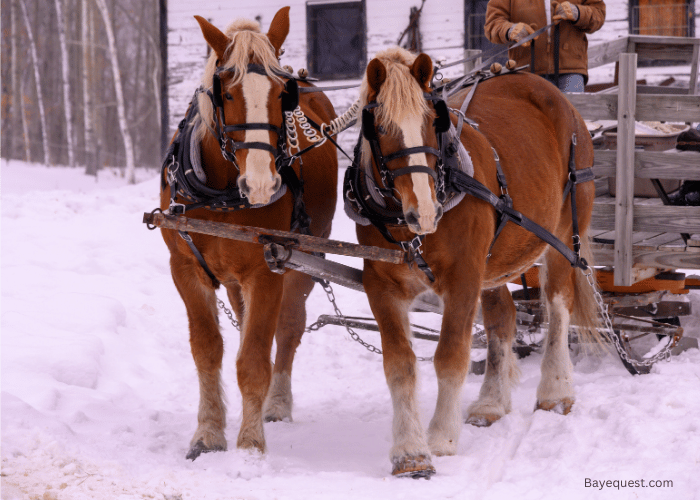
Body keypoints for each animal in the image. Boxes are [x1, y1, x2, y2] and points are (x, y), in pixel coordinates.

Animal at [162, 7, 342, 460]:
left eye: (282, 95)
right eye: (226, 94)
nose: (260, 184)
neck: (224, 196)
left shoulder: (267, 270)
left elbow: (256, 358)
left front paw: (249, 444)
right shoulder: (185, 268)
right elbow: (208, 350)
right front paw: (208, 434)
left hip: (303, 261)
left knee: (289, 327)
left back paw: (275, 405)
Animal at [350, 48, 600, 478]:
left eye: (432, 122)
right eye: (379, 126)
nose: (425, 211)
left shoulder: (463, 278)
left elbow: (450, 357)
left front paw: (441, 439)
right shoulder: (380, 286)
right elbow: (400, 365)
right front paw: (409, 451)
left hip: (565, 233)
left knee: (558, 306)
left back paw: (555, 390)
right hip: (494, 262)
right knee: (503, 318)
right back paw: (491, 403)